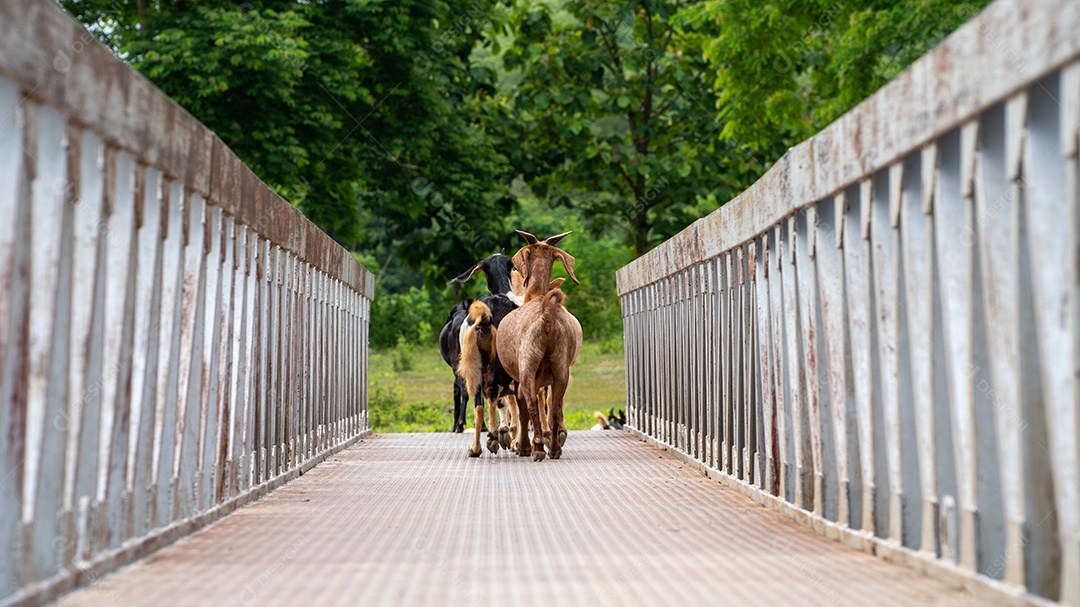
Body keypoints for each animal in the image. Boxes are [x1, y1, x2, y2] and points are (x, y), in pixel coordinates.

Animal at [496, 230, 582, 461]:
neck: (535, 296)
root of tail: (547, 316)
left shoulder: (518, 377)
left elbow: (523, 411)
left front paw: (523, 447)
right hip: (561, 367)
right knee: (555, 407)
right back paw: (554, 449)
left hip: (528, 364)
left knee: (532, 405)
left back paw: (536, 449)